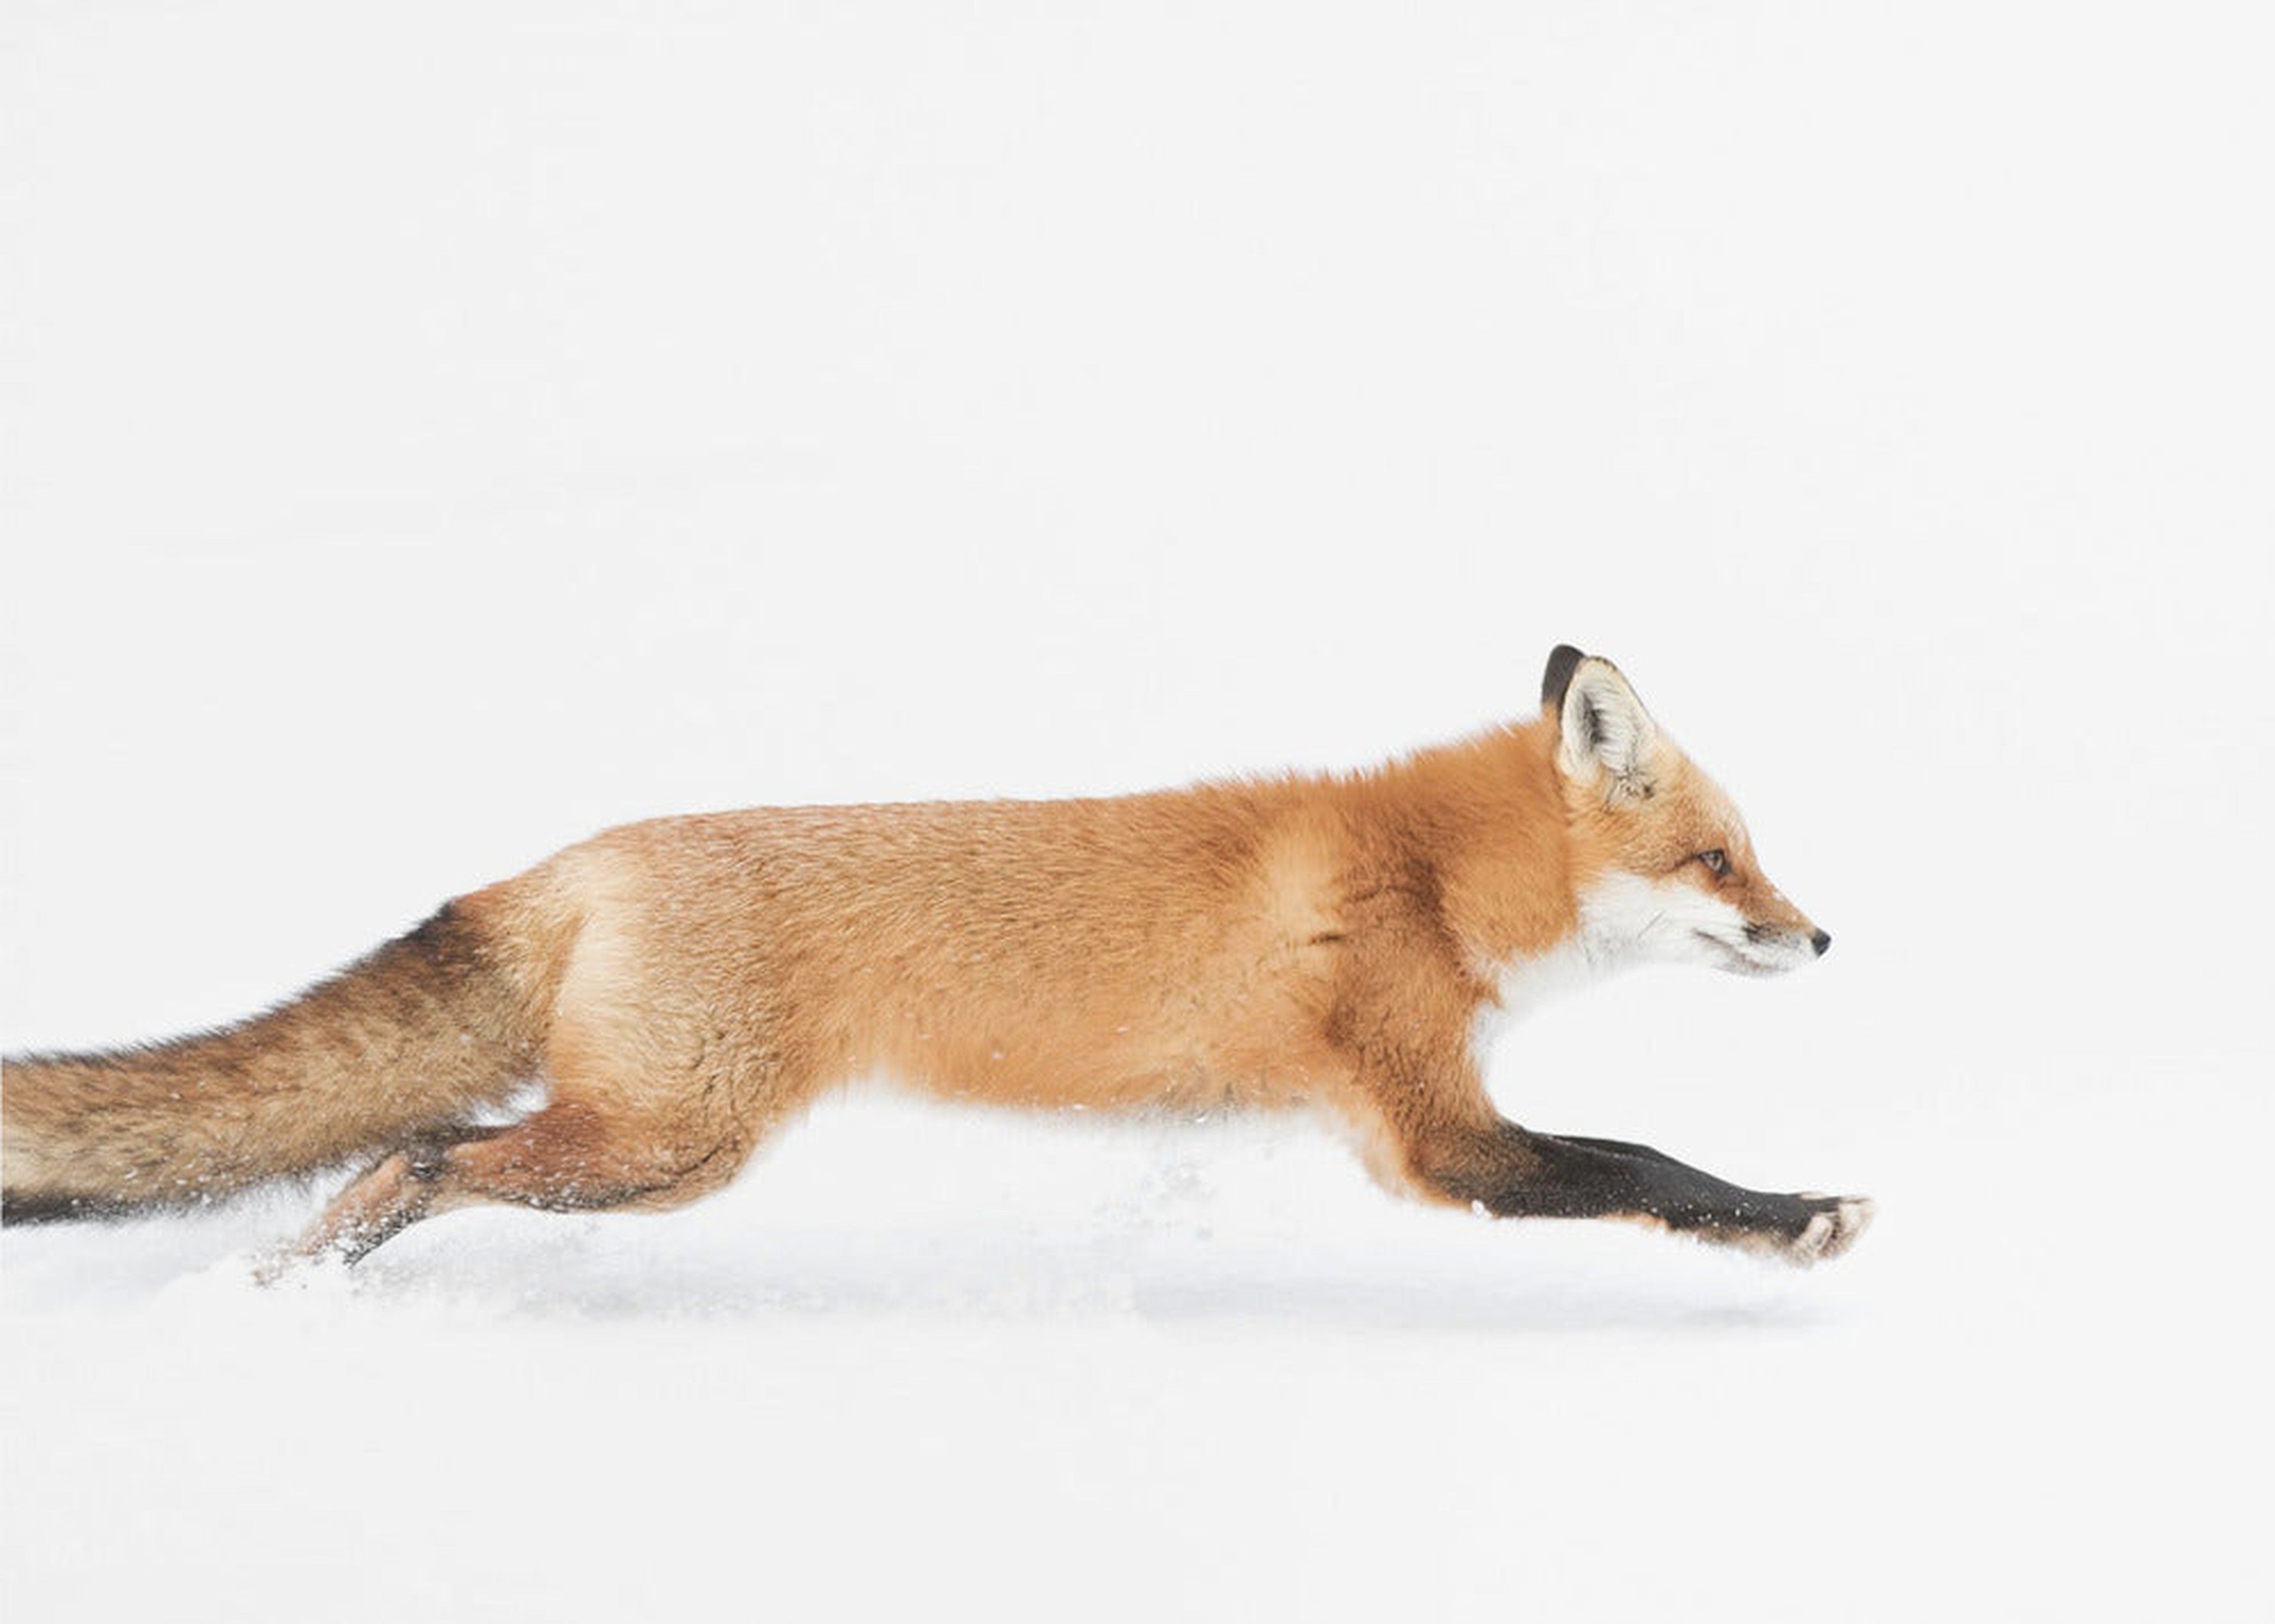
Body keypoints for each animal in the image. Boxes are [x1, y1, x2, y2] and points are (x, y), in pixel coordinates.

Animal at [0, 646, 1875, 1264]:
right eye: (1719, 859)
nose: (1820, 932)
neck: (1421, 876)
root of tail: (578, 857)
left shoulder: (1419, 1126)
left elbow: (1636, 1154)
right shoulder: (1436, 1136)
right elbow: (1646, 1159)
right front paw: (1801, 1219)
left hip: (655, 1151)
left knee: (403, 1156)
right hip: (662, 1147)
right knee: (409, 1155)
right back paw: (287, 1296)